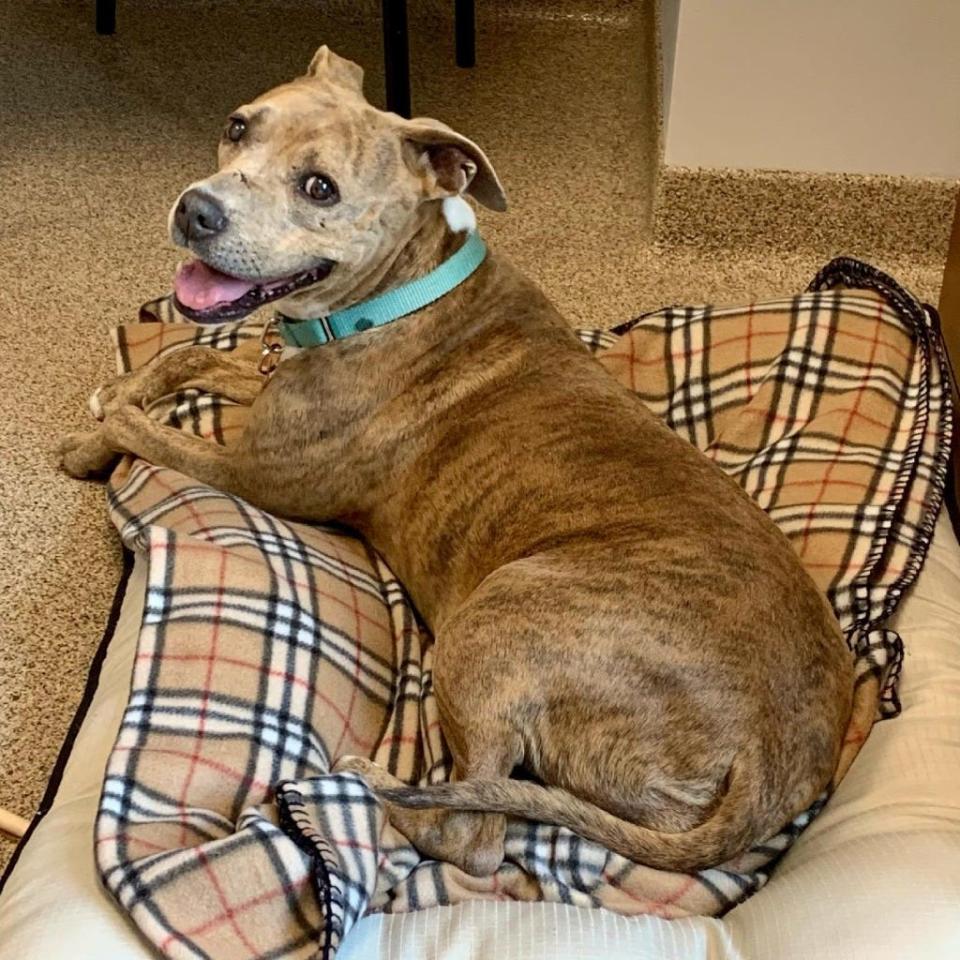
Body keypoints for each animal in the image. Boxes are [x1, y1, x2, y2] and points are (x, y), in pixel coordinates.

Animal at [60, 50, 852, 876]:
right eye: (237, 127)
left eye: (319, 187)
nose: (196, 210)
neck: (396, 294)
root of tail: (770, 765)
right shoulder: (266, 386)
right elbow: (182, 355)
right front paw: (121, 394)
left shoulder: (253, 475)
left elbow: (150, 430)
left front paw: (95, 434)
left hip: (490, 625)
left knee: (472, 837)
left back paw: (367, 781)